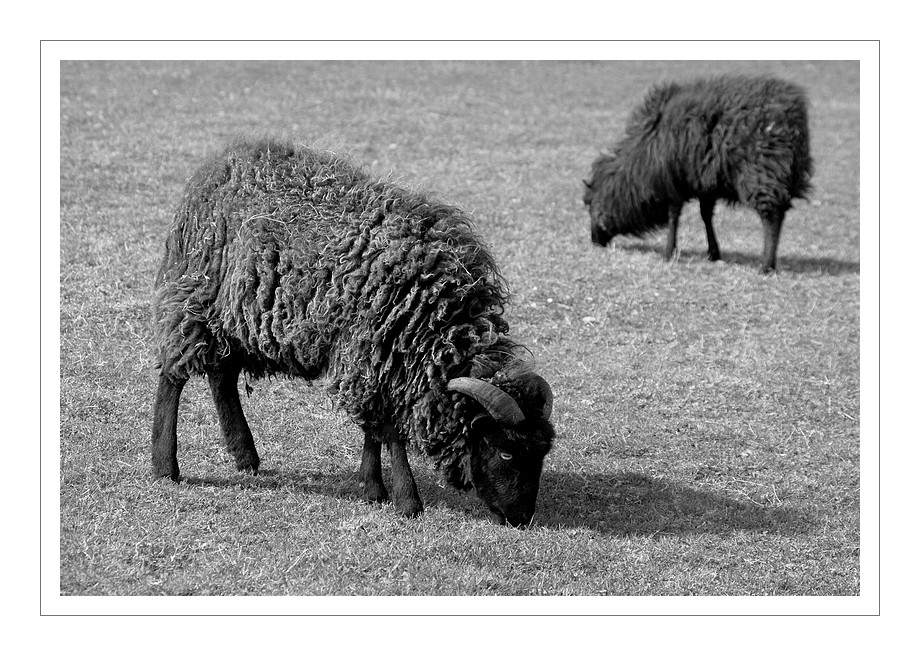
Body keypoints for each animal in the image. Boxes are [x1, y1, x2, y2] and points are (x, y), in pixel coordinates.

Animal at [150, 138, 555, 527]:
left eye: (541, 452)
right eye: (505, 451)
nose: (521, 519)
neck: (437, 310)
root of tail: (217, 168)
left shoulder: (377, 359)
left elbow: (373, 430)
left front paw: (373, 488)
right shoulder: (375, 350)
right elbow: (389, 430)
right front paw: (407, 500)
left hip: (238, 319)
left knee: (222, 376)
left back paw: (245, 456)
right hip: (197, 297)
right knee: (173, 375)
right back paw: (165, 466)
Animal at [582, 75, 813, 273]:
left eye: (592, 208)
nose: (594, 242)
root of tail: (793, 114)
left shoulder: (672, 182)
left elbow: (674, 216)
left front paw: (669, 252)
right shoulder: (704, 180)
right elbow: (705, 214)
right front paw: (713, 252)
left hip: (763, 172)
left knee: (772, 217)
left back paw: (766, 266)